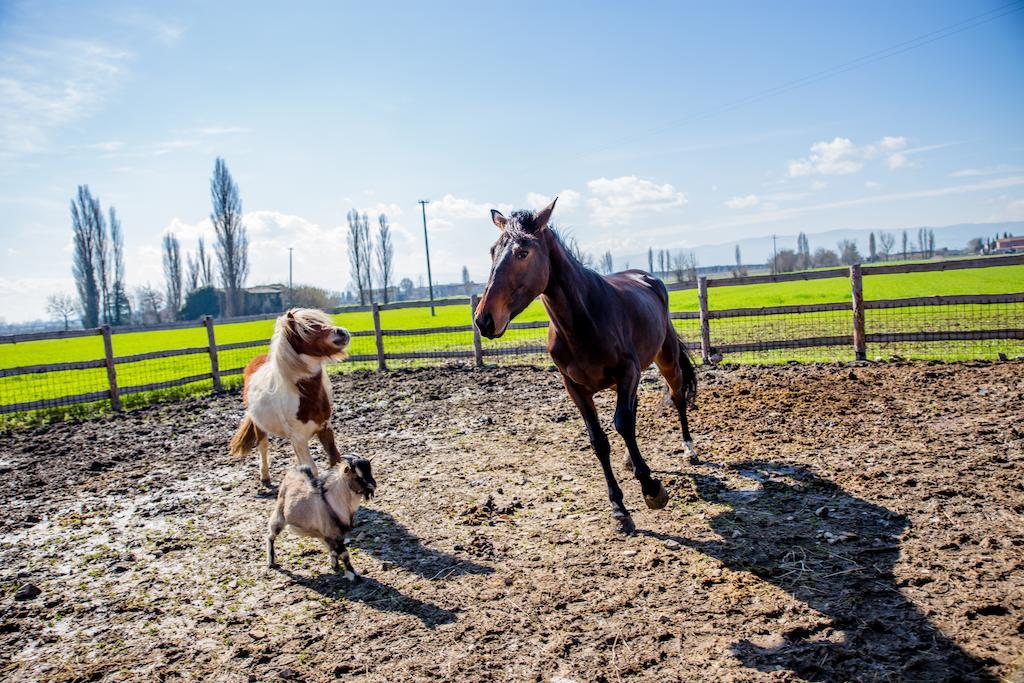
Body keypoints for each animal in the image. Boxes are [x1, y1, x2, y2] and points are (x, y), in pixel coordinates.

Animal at [229, 309, 352, 485]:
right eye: (306, 330)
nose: (341, 332)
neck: (305, 395)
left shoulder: (325, 428)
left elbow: (335, 459)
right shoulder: (299, 438)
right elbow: (312, 469)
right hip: (260, 427)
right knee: (263, 448)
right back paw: (265, 476)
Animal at [473, 197, 700, 532]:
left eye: (523, 252)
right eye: (492, 251)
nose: (484, 319)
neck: (583, 320)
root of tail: (647, 278)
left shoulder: (627, 372)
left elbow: (622, 423)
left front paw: (652, 489)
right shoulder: (576, 388)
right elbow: (599, 441)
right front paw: (619, 508)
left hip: (666, 359)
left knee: (677, 397)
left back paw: (689, 448)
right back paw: (631, 460)